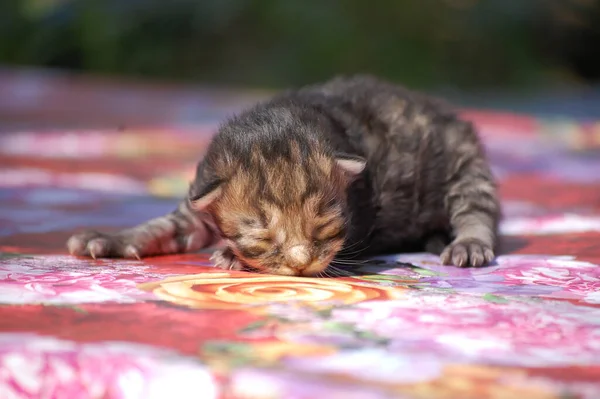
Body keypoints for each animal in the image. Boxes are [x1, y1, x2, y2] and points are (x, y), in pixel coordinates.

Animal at [65, 74, 500, 276]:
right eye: (262, 234)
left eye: (323, 225)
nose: (301, 263)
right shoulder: (196, 203)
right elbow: (160, 227)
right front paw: (110, 239)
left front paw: (229, 255)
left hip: (466, 164)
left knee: (477, 211)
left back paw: (468, 244)